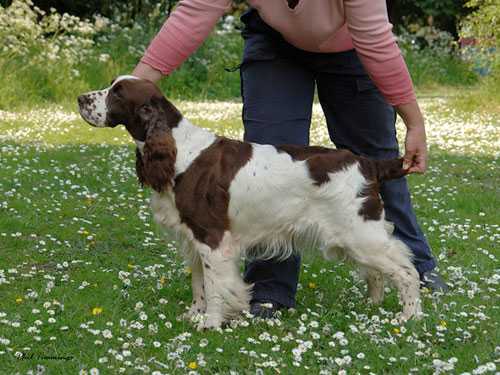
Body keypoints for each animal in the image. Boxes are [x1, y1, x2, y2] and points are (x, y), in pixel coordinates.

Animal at [77, 75, 422, 328]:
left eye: (117, 93)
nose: (81, 99)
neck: (178, 151)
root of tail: (367, 163)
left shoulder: (213, 238)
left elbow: (215, 285)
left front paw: (210, 323)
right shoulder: (194, 239)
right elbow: (199, 284)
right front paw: (194, 315)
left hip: (360, 232)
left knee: (406, 269)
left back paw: (408, 315)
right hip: (350, 237)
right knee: (377, 272)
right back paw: (371, 304)